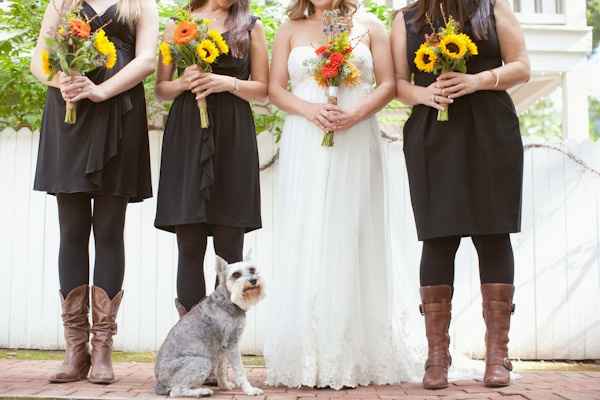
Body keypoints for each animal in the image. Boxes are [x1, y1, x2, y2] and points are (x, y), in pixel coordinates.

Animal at [155, 256, 264, 396]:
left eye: (252, 269)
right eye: (236, 274)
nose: (253, 280)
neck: (228, 300)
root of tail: (159, 382)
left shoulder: (223, 348)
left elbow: (221, 369)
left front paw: (225, 386)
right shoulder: (232, 344)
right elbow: (239, 370)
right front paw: (250, 390)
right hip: (202, 362)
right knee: (176, 390)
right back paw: (201, 392)